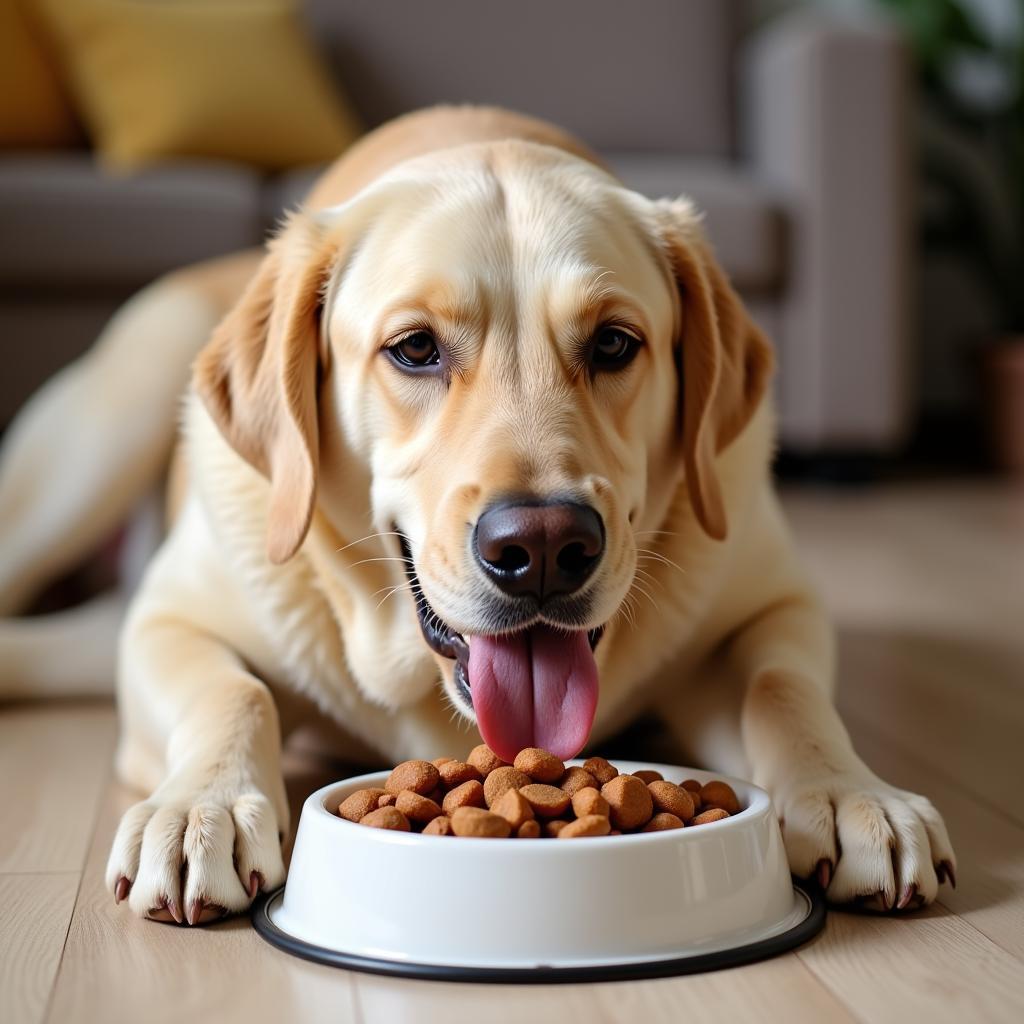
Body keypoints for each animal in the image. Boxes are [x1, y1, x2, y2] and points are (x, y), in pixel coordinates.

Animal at [0, 108, 950, 925]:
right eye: (415, 348)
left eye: (614, 344)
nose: (545, 547)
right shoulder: (167, 619)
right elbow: (233, 691)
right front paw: (203, 809)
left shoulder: (773, 605)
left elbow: (782, 688)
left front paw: (853, 794)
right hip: (103, 433)